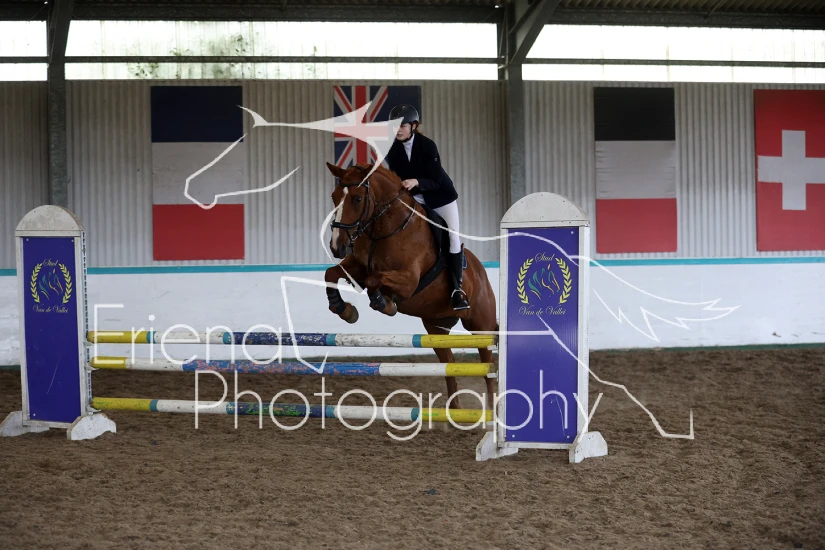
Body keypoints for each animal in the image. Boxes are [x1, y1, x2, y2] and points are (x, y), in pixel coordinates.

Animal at [322, 161, 498, 411]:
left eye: (357, 199)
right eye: (334, 196)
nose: (337, 246)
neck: (384, 228)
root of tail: (481, 272)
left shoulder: (407, 281)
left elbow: (374, 281)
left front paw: (384, 304)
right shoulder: (357, 267)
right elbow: (331, 273)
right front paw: (344, 309)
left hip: (481, 325)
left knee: (487, 369)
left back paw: (492, 413)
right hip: (436, 327)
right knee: (449, 364)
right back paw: (454, 412)